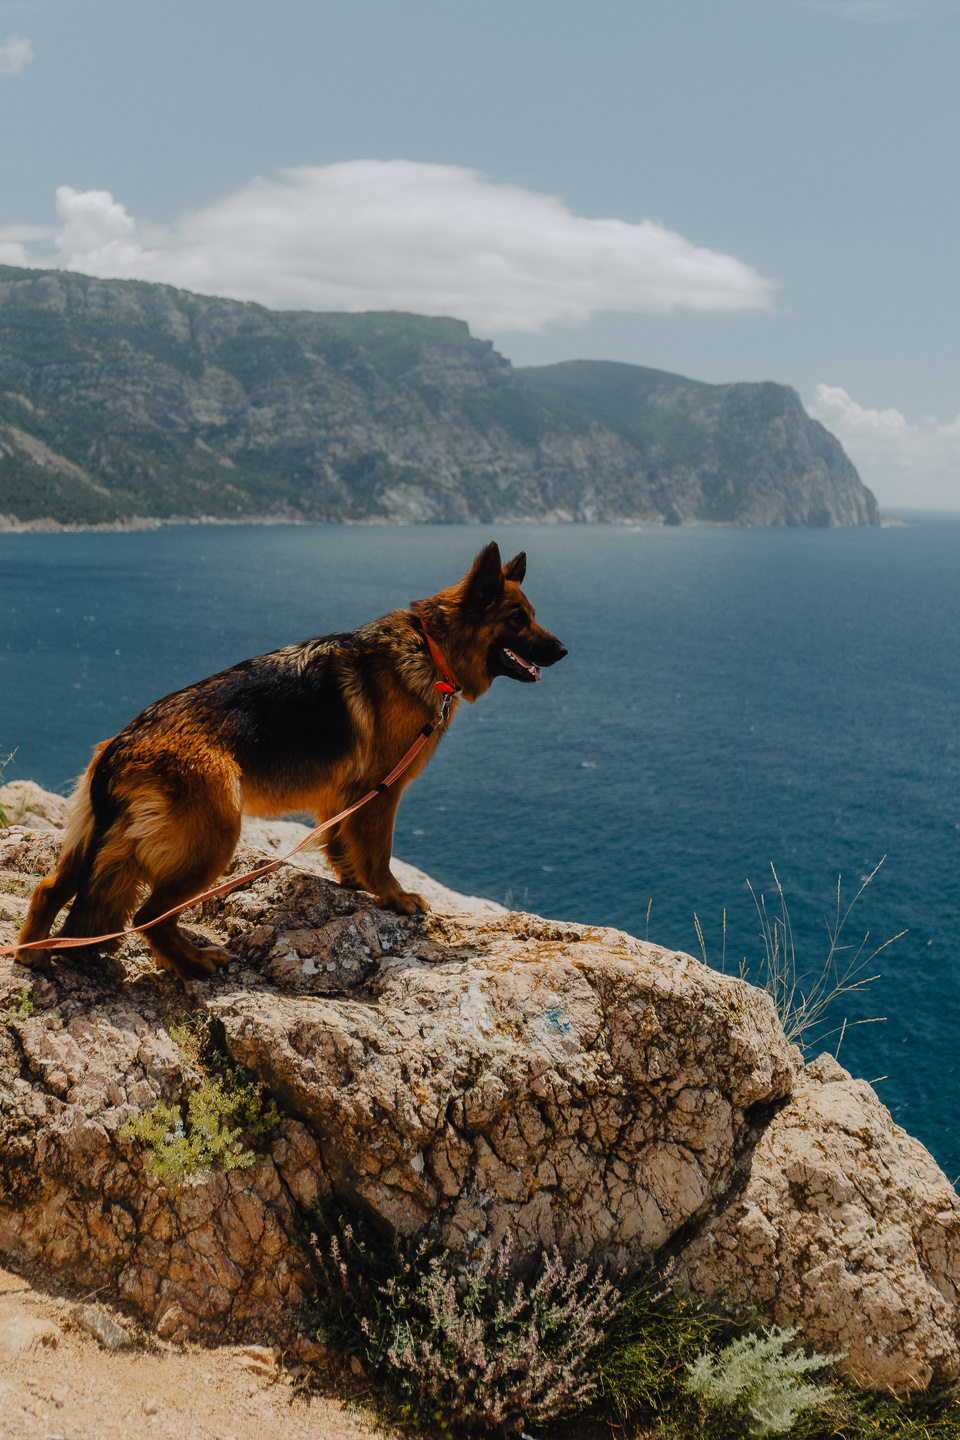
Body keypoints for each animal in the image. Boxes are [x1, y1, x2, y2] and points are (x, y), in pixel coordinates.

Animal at [18, 541, 567, 979]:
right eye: (517, 620)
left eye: (533, 614)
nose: (564, 650)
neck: (429, 647)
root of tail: (125, 742)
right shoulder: (381, 792)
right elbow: (379, 852)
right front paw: (393, 897)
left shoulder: (342, 797)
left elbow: (343, 845)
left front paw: (352, 883)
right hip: (215, 836)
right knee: (147, 915)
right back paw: (194, 962)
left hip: (96, 839)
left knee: (49, 887)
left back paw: (32, 954)